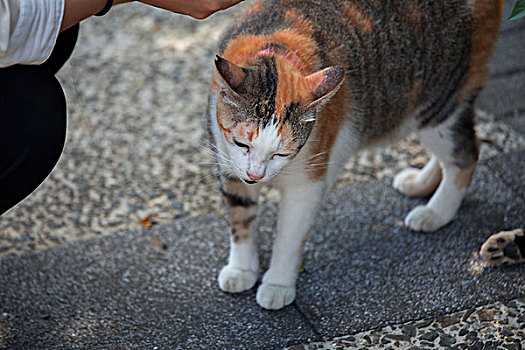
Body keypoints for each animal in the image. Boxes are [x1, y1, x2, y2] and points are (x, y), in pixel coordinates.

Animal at [206, 0, 504, 308]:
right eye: (242, 144)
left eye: (281, 154)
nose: (255, 176)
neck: (277, 48)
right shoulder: (229, 163)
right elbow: (241, 218)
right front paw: (242, 269)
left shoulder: (307, 182)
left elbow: (289, 237)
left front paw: (277, 283)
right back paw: (420, 184)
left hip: (439, 105)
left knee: (465, 155)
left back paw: (436, 212)